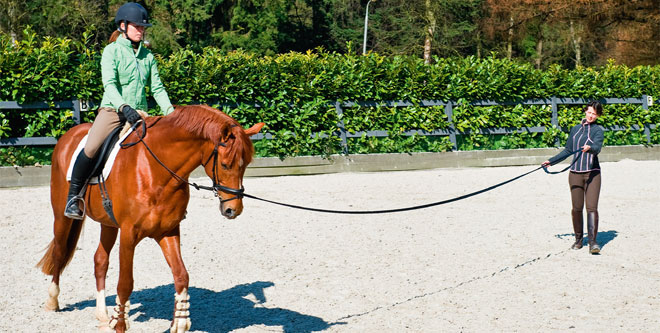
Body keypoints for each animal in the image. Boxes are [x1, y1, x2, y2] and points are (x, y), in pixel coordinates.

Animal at [37, 105, 264, 330]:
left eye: (245, 165)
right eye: (225, 165)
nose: (233, 209)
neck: (155, 171)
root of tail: (69, 135)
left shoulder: (168, 231)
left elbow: (181, 275)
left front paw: (180, 322)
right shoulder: (129, 234)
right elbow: (125, 284)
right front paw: (120, 324)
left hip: (108, 223)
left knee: (100, 260)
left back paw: (102, 316)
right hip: (62, 216)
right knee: (59, 252)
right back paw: (52, 301)